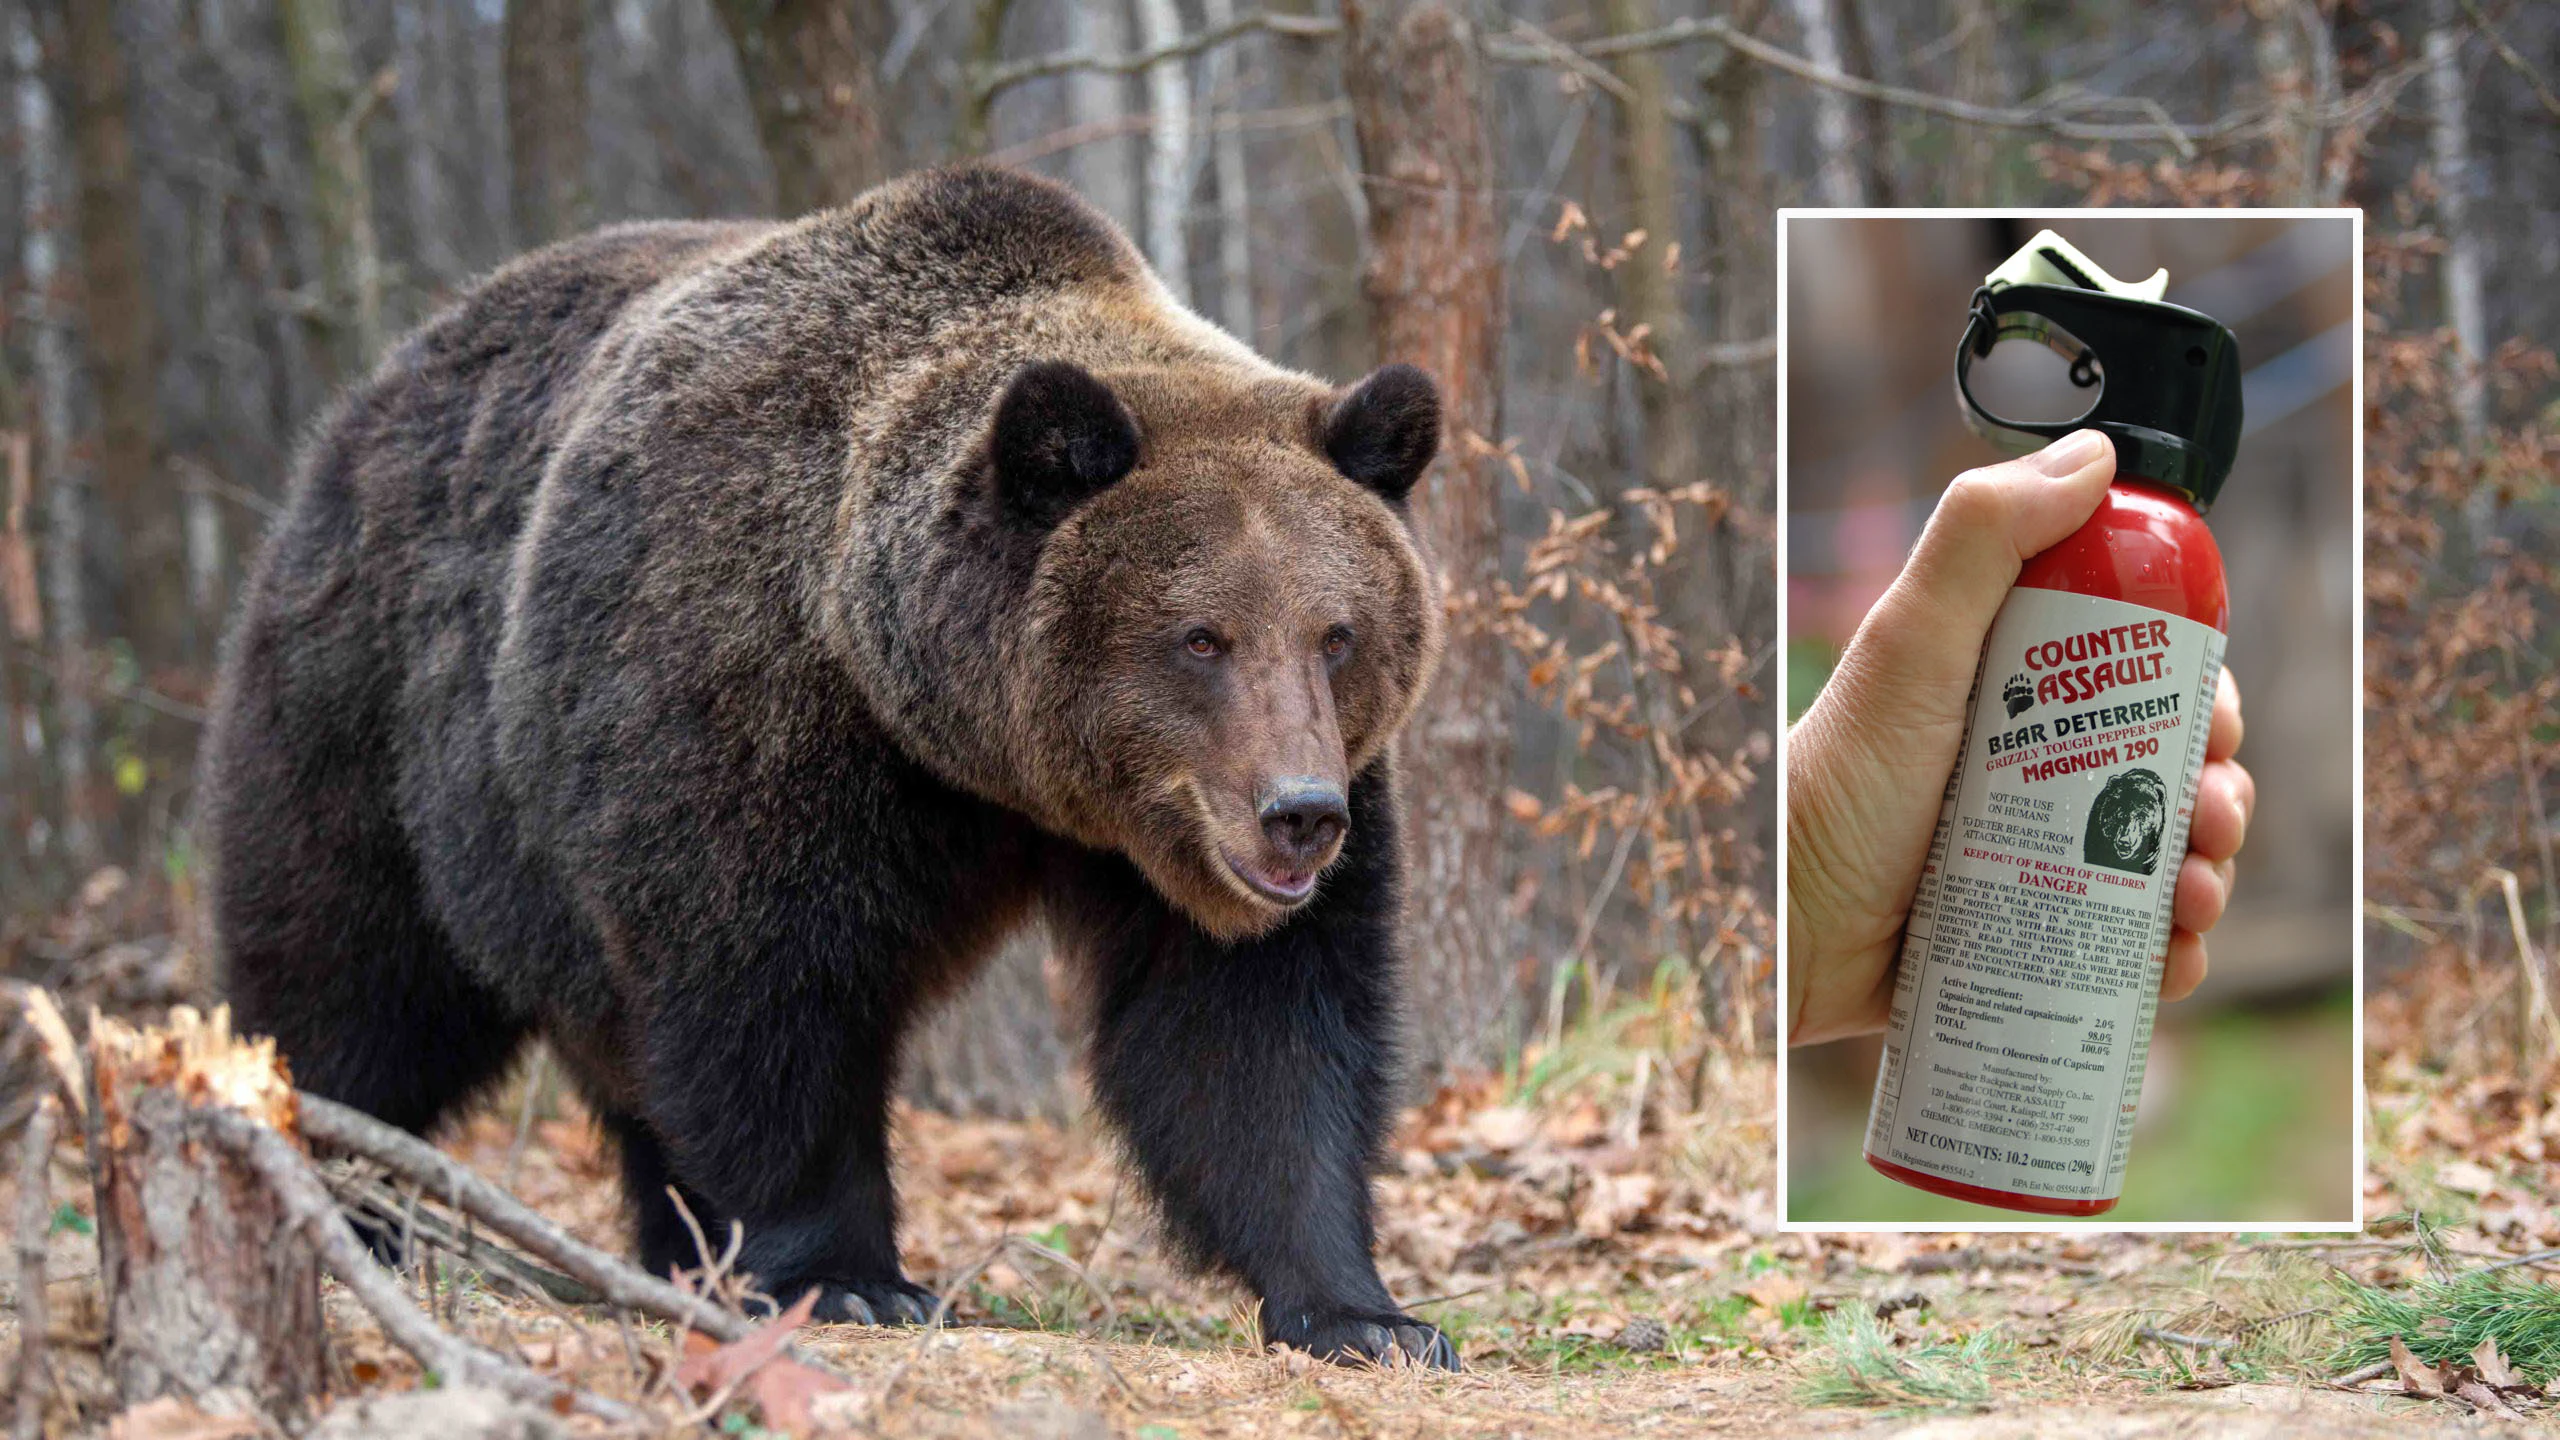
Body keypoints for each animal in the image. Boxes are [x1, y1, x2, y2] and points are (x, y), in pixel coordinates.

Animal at [200, 164, 1459, 1369]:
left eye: (1336, 633)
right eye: (1200, 637)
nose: (1298, 815)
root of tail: (378, 385)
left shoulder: (1197, 840)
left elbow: (1252, 1030)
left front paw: (1366, 1315)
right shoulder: (750, 715)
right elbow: (764, 995)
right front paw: (852, 1277)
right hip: (375, 720)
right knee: (351, 978)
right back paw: (344, 1197)